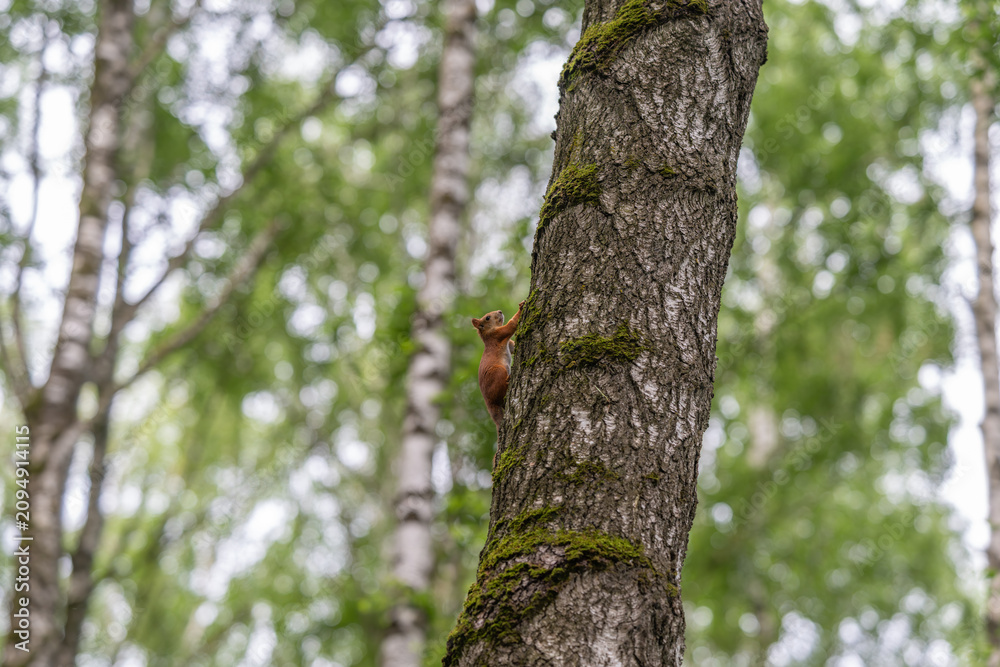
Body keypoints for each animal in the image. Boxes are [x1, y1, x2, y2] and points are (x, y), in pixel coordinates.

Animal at [472, 300, 524, 432]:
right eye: (487, 318)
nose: (500, 311)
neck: (488, 333)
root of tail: (489, 402)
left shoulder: (509, 344)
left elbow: (513, 347)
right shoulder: (497, 334)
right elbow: (511, 324)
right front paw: (521, 307)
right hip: (498, 372)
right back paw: (508, 380)